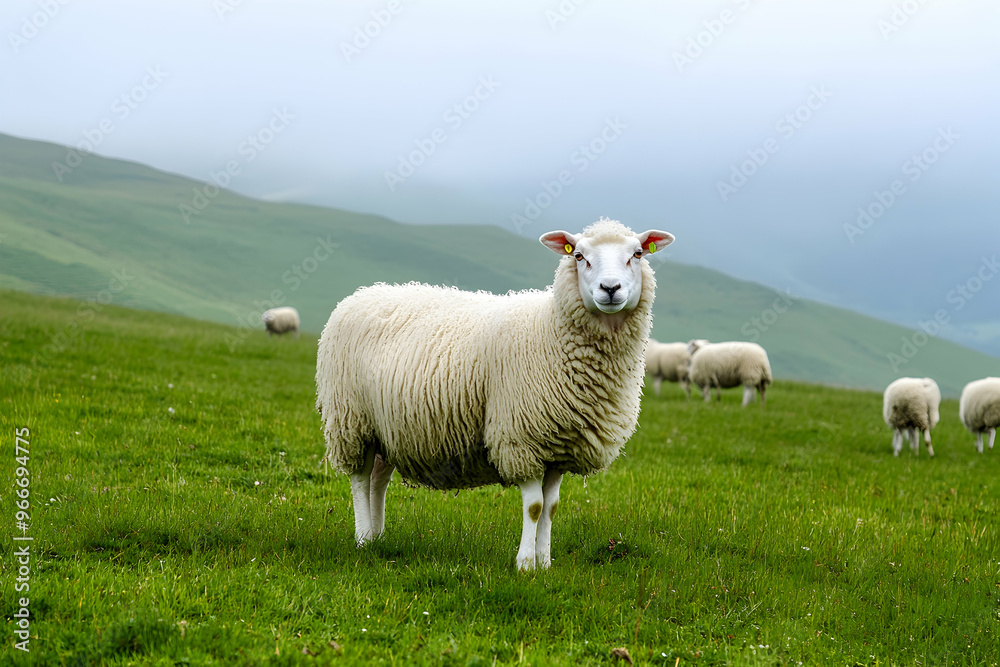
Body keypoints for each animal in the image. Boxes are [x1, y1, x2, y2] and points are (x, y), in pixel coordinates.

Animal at [316, 218, 675, 570]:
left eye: (638, 254)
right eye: (578, 256)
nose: (610, 289)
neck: (551, 329)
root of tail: (361, 294)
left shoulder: (560, 446)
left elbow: (552, 506)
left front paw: (545, 562)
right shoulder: (521, 438)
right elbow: (534, 506)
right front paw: (525, 564)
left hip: (386, 429)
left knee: (378, 480)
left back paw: (378, 537)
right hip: (352, 420)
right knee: (361, 479)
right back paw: (364, 538)